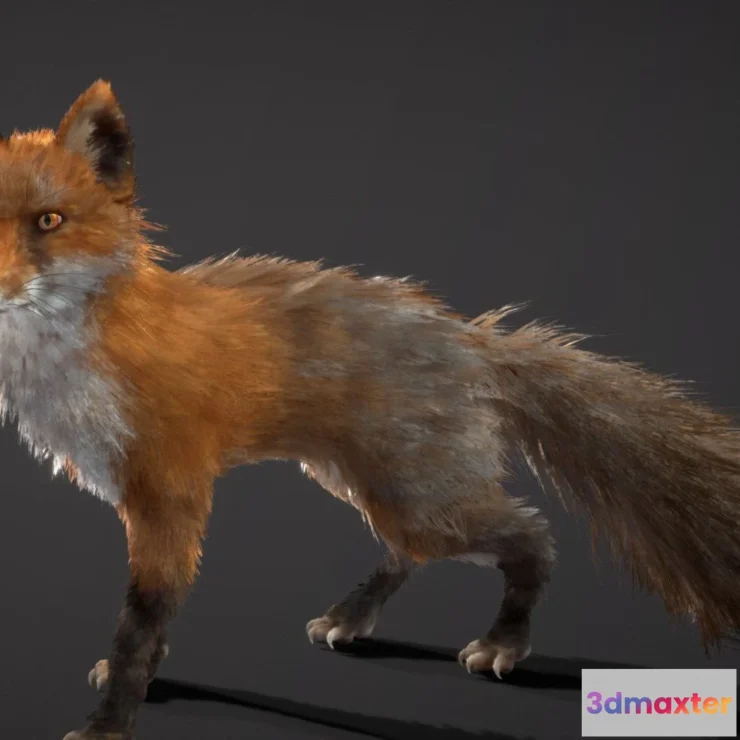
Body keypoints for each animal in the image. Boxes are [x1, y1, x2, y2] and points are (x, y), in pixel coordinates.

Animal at [1, 80, 739, 739]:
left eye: (49, 221)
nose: (4, 286)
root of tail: (470, 336)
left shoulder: (171, 494)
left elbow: (140, 625)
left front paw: (108, 724)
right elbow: (146, 632)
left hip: (421, 499)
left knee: (530, 535)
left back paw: (504, 641)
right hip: (360, 481)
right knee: (406, 550)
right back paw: (350, 618)